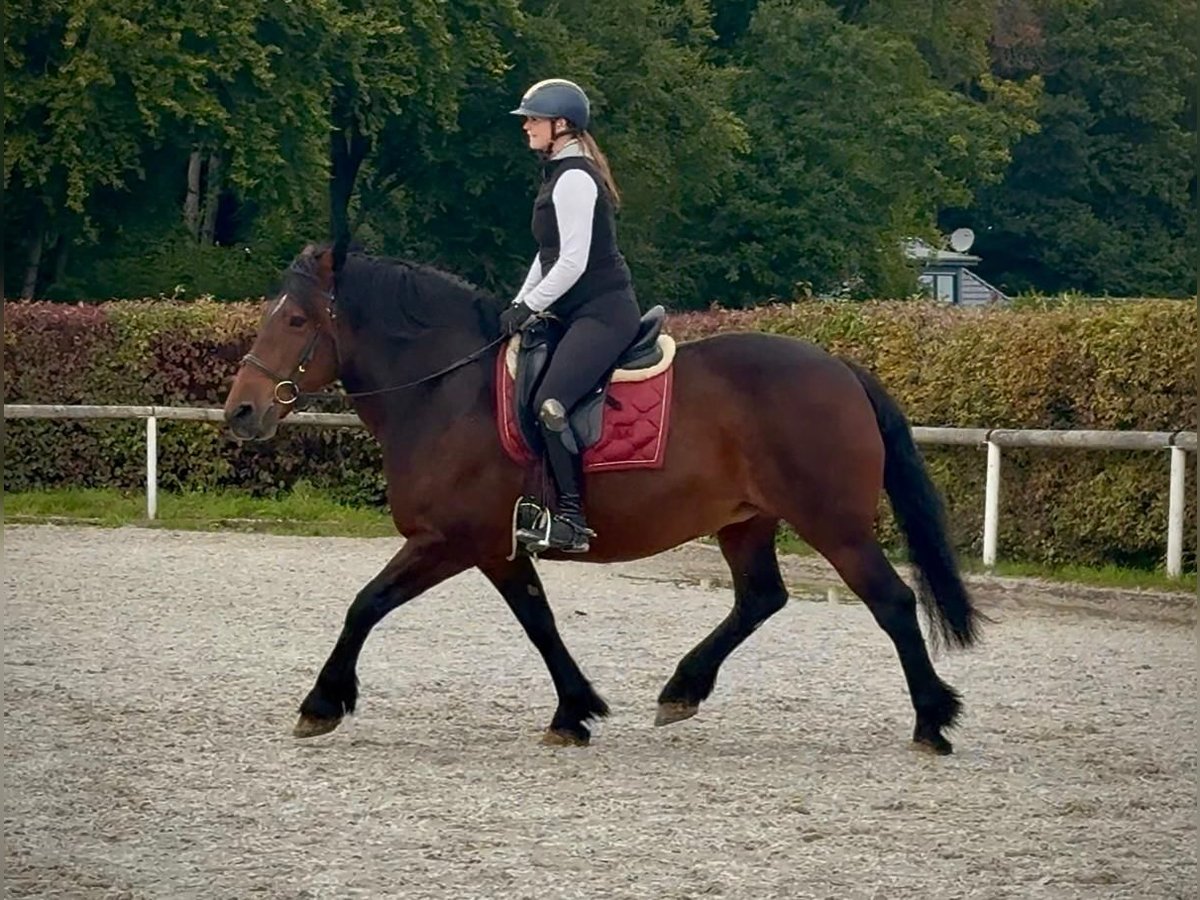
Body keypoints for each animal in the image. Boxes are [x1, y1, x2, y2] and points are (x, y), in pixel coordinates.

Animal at [222, 242, 982, 753]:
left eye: (295, 321)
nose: (240, 411)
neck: (445, 393)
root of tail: (841, 368)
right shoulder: (498, 548)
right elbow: (539, 621)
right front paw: (575, 710)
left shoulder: (447, 541)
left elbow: (366, 603)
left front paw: (322, 701)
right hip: (745, 520)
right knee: (761, 598)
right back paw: (682, 690)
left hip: (834, 525)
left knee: (892, 602)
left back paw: (932, 720)